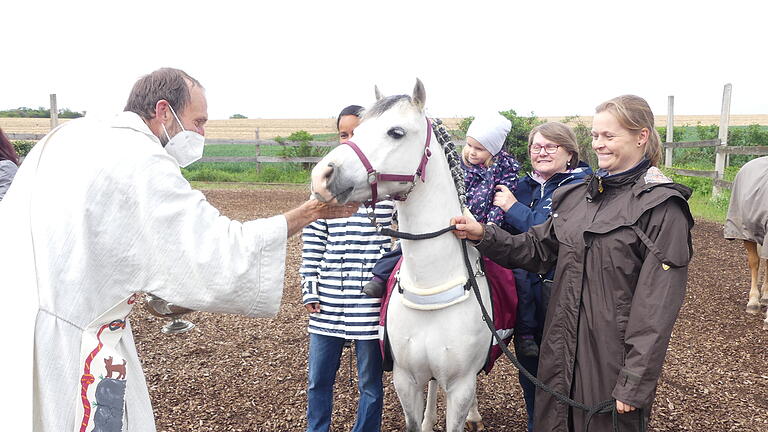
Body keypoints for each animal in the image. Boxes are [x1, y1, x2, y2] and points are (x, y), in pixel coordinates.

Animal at [310, 80, 492, 428]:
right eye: (355, 131)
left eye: (396, 132)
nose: (321, 176)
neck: (431, 287)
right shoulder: (405, 380)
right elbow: (414, 421)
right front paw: (424, 422)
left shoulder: (461, 386)